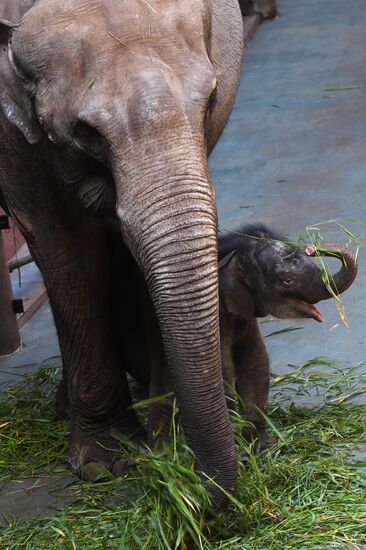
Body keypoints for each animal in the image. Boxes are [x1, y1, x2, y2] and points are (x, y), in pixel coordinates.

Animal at [1, 0, 244, 504]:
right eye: (85, 132)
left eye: (210, 100)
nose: (208, 498)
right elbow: (61, 240)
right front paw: (103, 463)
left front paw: (165, 440)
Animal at [219, 224, 356, 448]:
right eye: (288, 281)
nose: (312, 248)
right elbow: (224, 371)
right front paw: (242, 449)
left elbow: (255, 360)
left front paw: (265, 445)